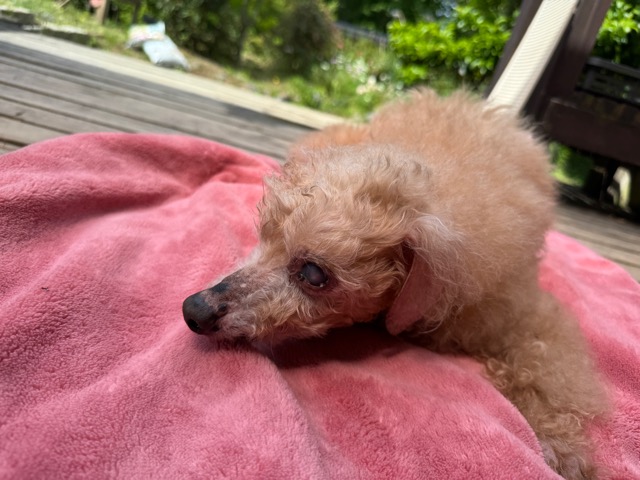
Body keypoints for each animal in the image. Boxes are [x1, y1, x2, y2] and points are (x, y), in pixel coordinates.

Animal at [182, 90, 606, 479]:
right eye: (264, 237)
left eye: (314, 275)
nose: (193, 310)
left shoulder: (522, 311)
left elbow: (550, 369)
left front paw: (560, 446)